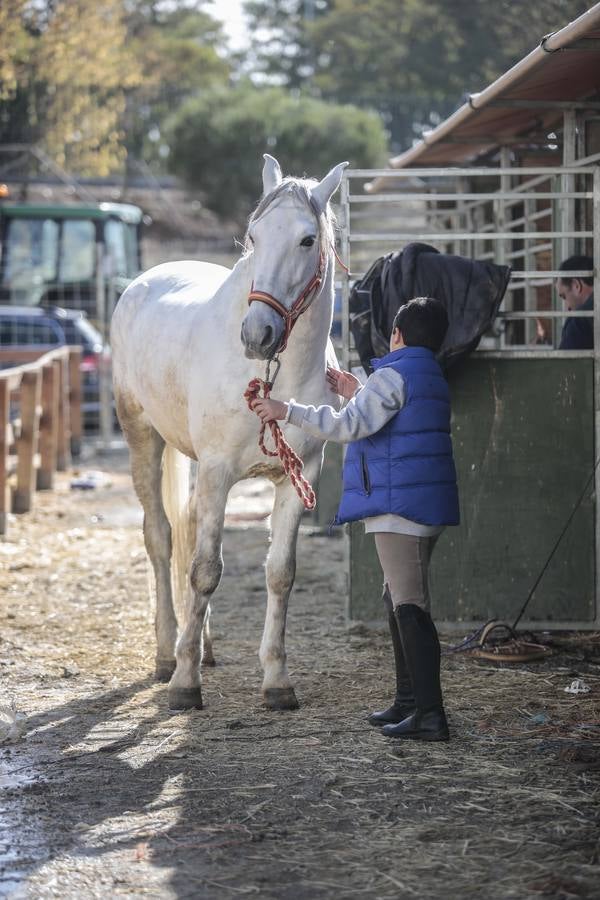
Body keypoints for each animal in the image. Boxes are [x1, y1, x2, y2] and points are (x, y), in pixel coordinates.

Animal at [111, 158, 346, 712]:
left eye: (307, 239)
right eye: (254, 236)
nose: (257, 334)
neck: (273, 374)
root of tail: (142, 282)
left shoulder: (297, 479)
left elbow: (280, 573)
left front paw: (277, 681)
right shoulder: (219, 473)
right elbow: (204, 571)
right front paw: (184, 684)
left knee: (188, 529)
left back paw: (200, 647)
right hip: (142, 436)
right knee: (160, 539)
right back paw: (166, 654)